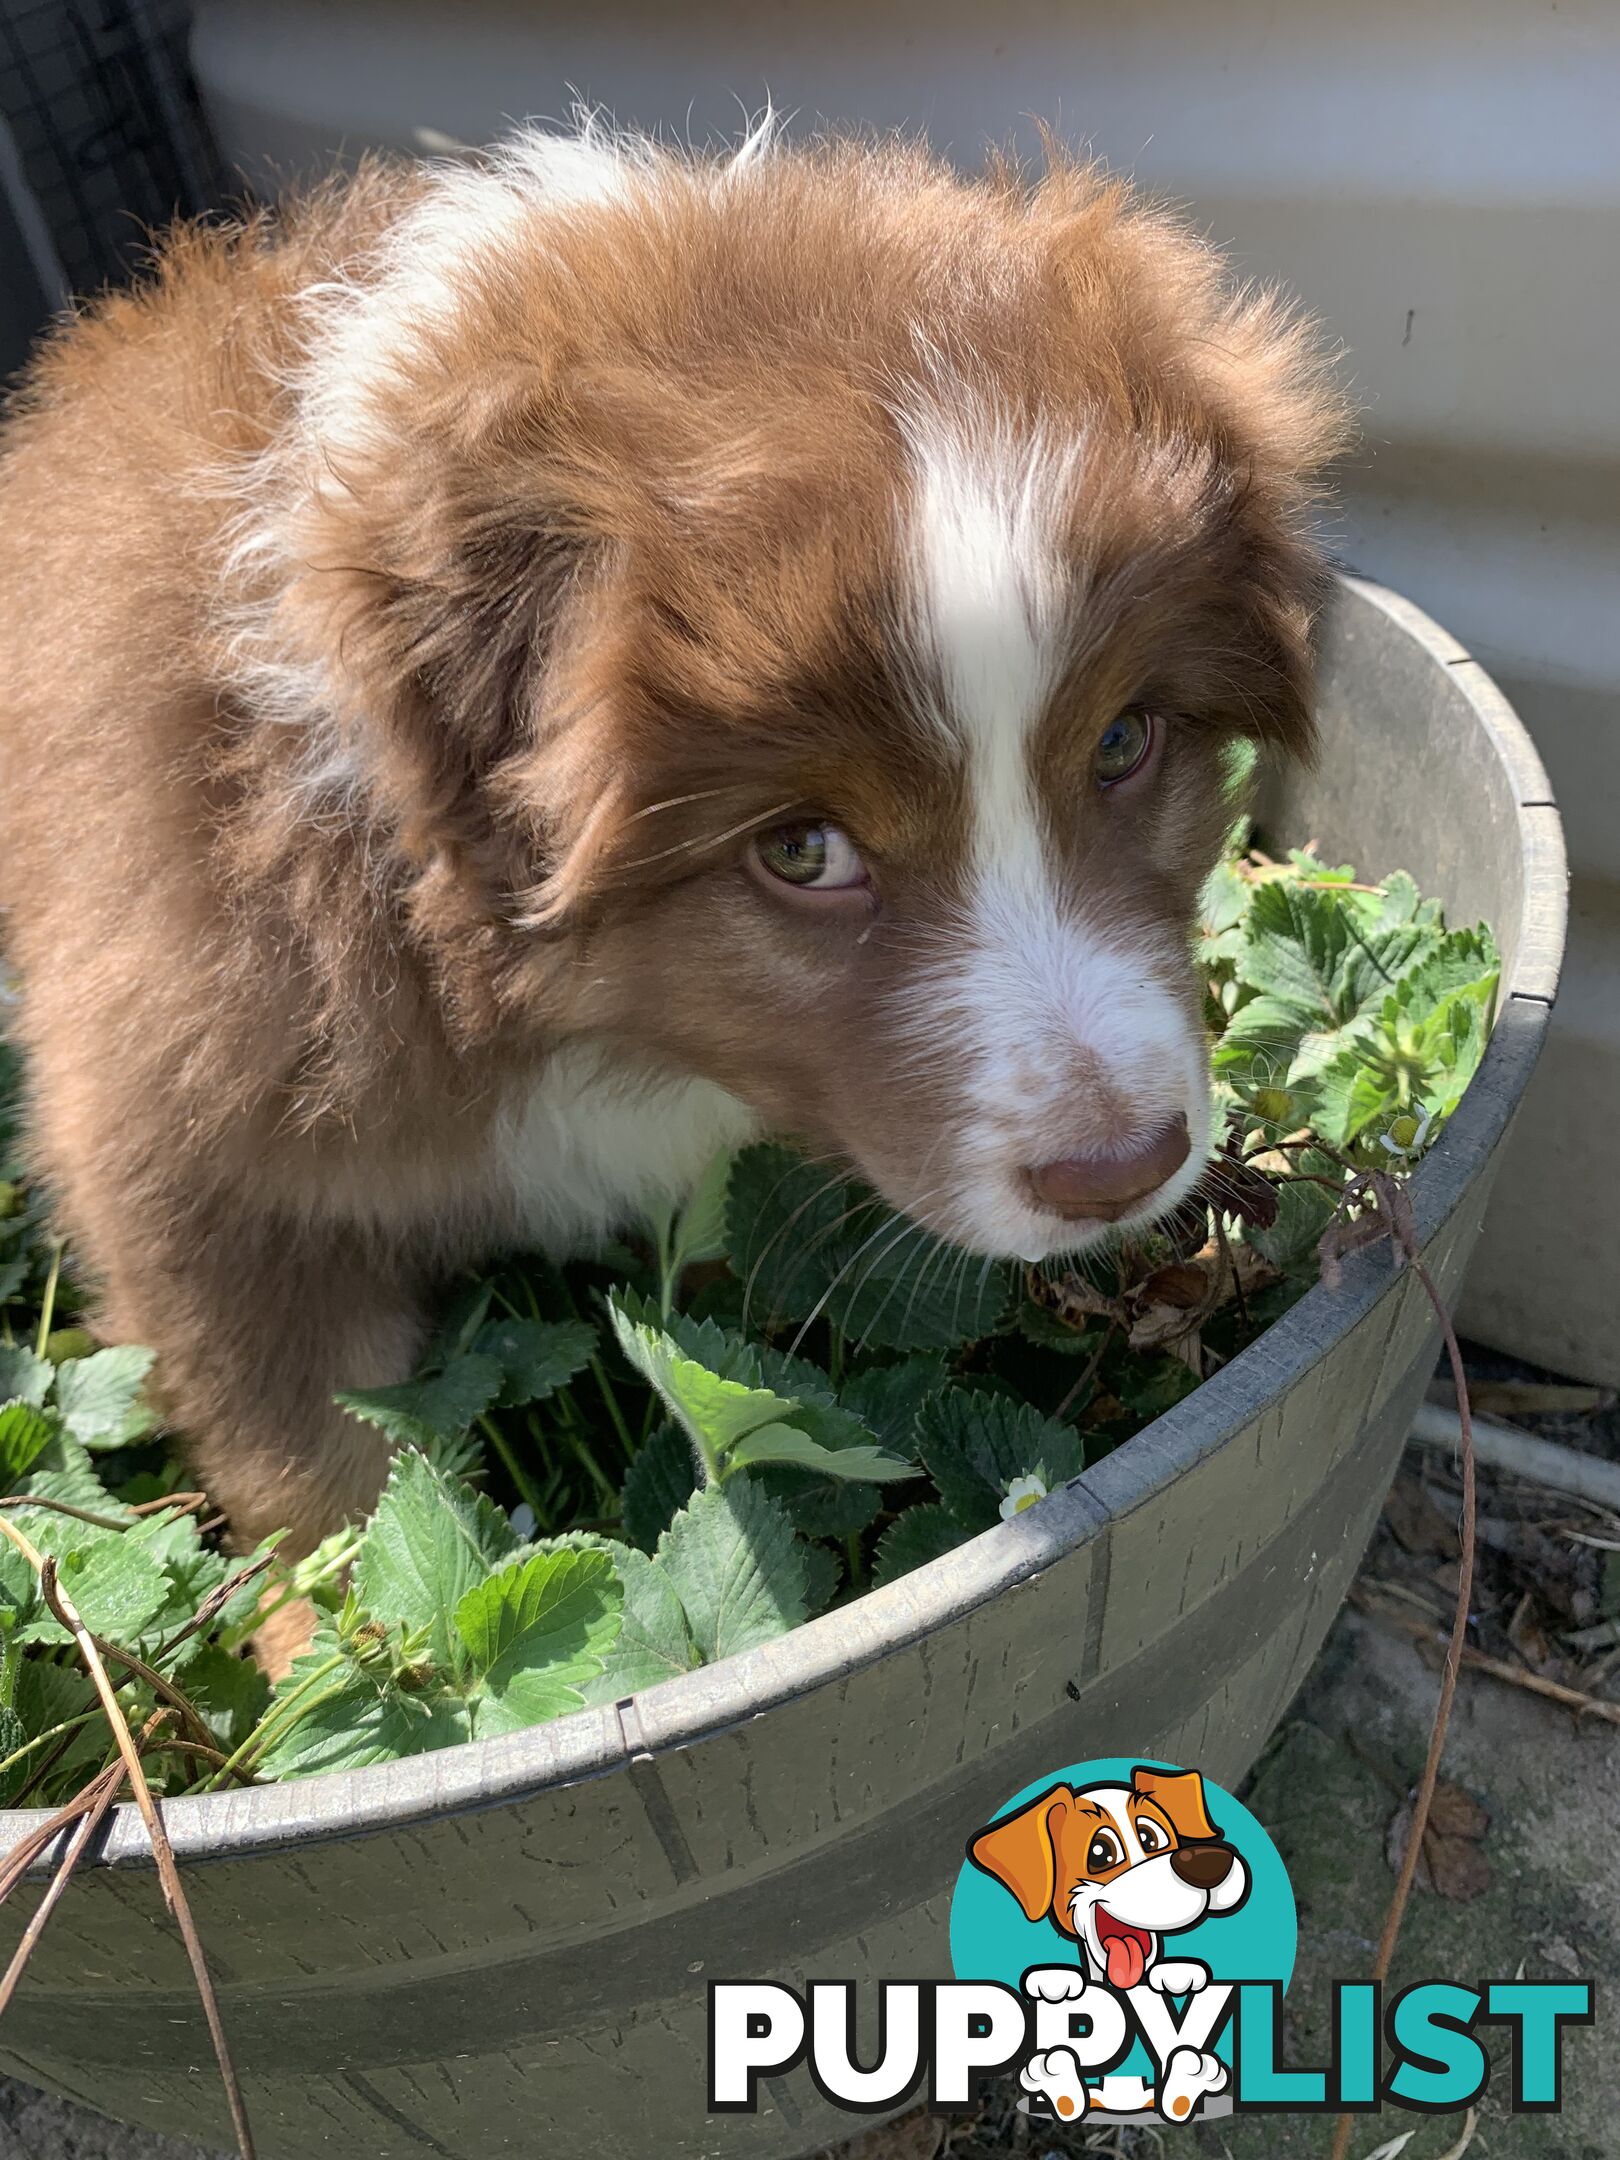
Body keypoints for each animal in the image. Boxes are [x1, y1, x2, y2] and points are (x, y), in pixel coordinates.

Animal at [0, 130, 1347, 1589]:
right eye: (802, 851)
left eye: (1123, 742)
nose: (1121, 1172)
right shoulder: (199, 1157)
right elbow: (327, 1483)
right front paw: (338, 1616)